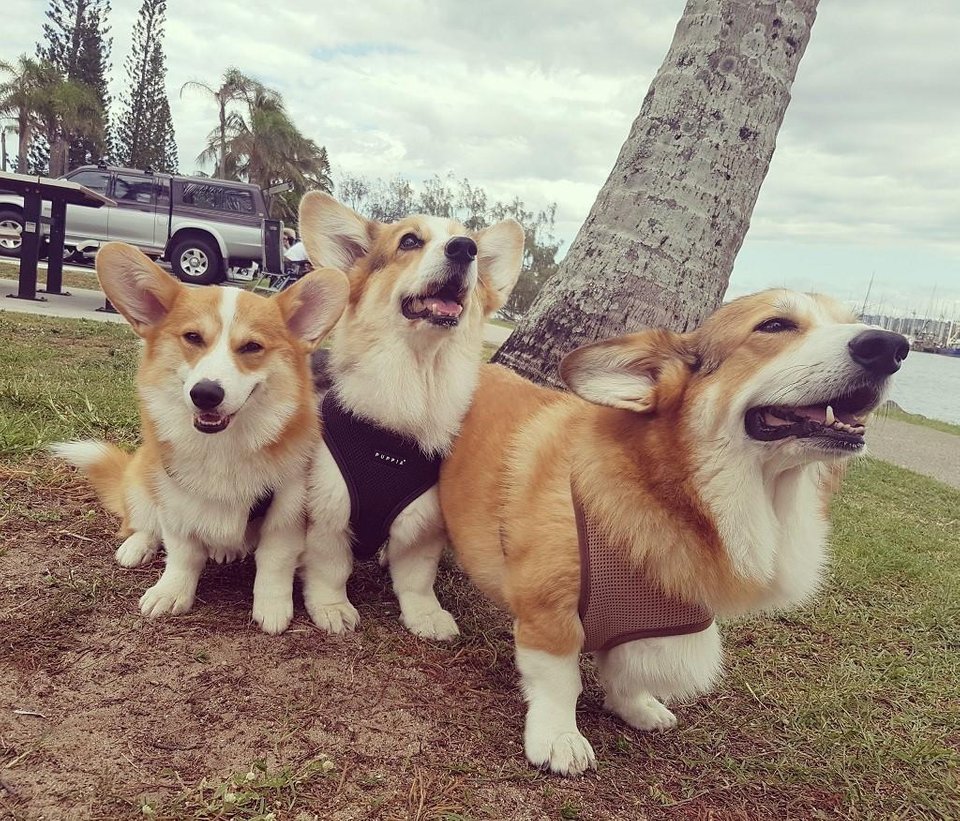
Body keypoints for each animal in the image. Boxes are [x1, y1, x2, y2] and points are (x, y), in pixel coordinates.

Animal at [51, 240, 348, 632]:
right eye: (193, 338)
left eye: (251, 347)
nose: (206, 394)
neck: (221, 447)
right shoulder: (175, 503)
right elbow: (183, 554)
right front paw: (171, 592)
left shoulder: (286, 512)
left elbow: (274, 562)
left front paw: (272, 606)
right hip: (141, 477)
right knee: (140, 521)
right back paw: (137, 546)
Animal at [298, 192, 520, 640]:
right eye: (410, 241)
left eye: (468, 242)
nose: (464, 250)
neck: (415, 382)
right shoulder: (327, 512)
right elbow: (329, 567)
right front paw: (332, 607)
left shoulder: (425, 526)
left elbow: (417, 578)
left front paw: (426, 615)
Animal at [438, 290, 912, 776]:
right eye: (775, 326)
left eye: (849, 320)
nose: (891, 347)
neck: (676, 491)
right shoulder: (548, 611)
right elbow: (559, 681)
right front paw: (559, 738)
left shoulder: (647, 627)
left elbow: (626, 673)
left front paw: (637, 708)